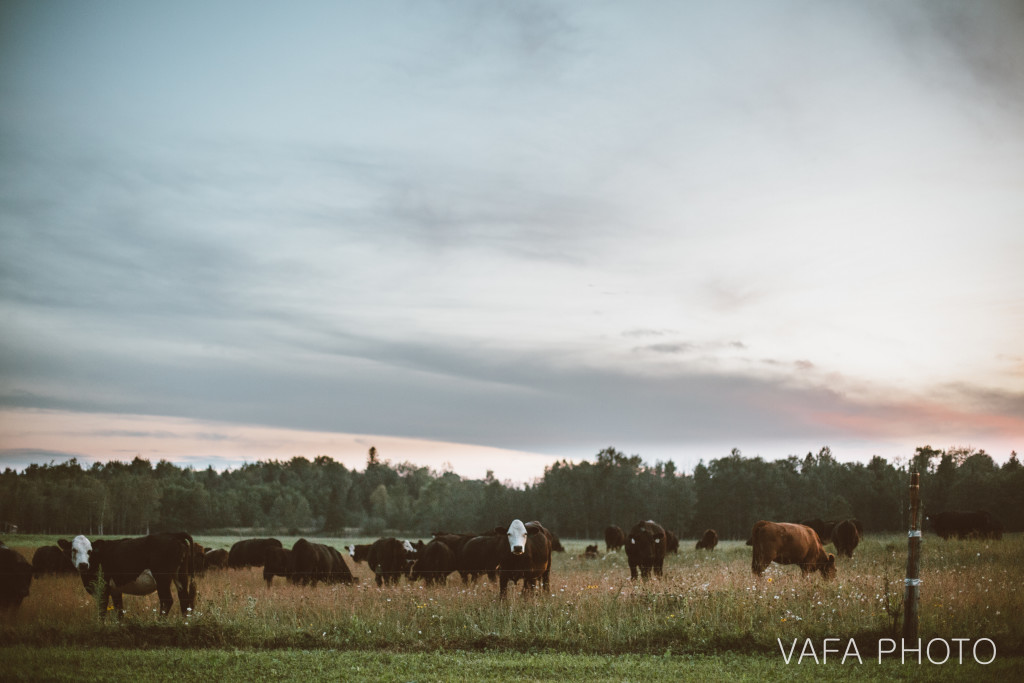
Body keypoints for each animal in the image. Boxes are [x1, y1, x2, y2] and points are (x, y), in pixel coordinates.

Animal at [60, 532, 197, 618]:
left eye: (90, 551)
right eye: (73, 550)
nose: (83, 564)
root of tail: (173, 534)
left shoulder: (103, 588)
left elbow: (102, 611)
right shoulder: (115, 590)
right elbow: (119, 611)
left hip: (162, 578)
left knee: (167, 600)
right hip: (181, 576)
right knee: (184, 599)